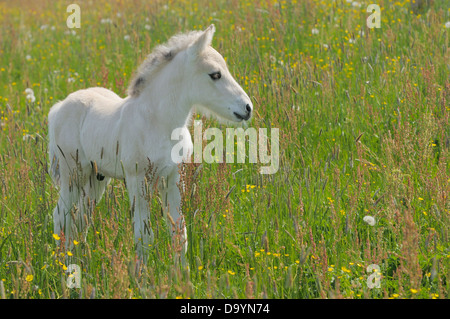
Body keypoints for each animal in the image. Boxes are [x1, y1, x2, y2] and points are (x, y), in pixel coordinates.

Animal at [49, 25, 253, 264]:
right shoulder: (137, 179)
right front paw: (142, 275)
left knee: (81, 217)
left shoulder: (174, 178)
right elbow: (144, 236)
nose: (247, 107)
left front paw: (181, 274)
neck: (159, 123)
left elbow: (179, 232)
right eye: (215, 74)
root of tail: (60, 106)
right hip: (73, 174)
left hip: (96, 177)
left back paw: (79, 260)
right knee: (61, 215)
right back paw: (62, 263)